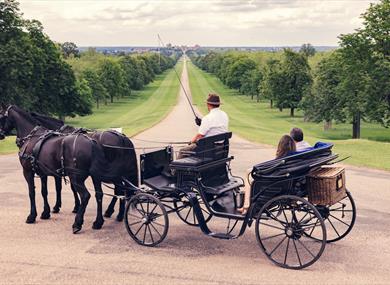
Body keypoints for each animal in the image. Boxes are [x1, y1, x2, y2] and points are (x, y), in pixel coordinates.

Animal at [0, 105, 137, 232]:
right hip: (97, 175)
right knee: (102, 194)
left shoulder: (29, 171)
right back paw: (103, 220)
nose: (1, 134)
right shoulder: (45, 172)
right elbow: (45, 191)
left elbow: (33, 192)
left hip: (80, 176)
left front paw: (33, 215)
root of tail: (121, 137)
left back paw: (79, 223)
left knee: (90, 195)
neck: (33, 137)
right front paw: (47, 212)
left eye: (1, 116)